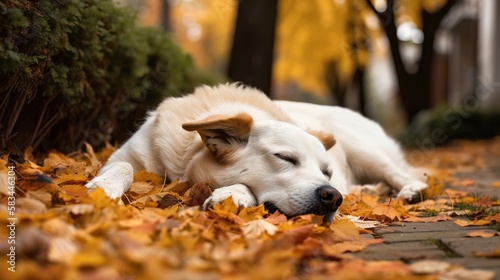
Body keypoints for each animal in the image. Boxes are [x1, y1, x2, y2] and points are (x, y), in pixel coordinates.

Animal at [86, 83, 426, 221]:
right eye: (285, 158)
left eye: (325, 172)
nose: (333, 197)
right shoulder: (122, 156)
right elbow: (124, 168)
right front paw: (104, 186)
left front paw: (233, 194)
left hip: (363, 148)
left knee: (398, 172)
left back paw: (411, 191)